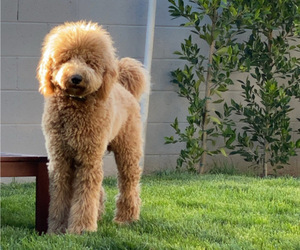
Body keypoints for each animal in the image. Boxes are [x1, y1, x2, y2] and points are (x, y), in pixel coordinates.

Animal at [37, 21, 149, 234]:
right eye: (66, 58)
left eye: (90, 62)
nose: (76, 77)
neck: (75, 105)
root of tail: (124, 86)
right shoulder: (61, 158)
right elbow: (60, 194)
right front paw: (57, 228)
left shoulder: (87, 158)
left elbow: (85, 194)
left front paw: (81, 229)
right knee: (101, 187)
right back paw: (99, 214)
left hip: (127, 150)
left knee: (129, 182)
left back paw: (127, 218)